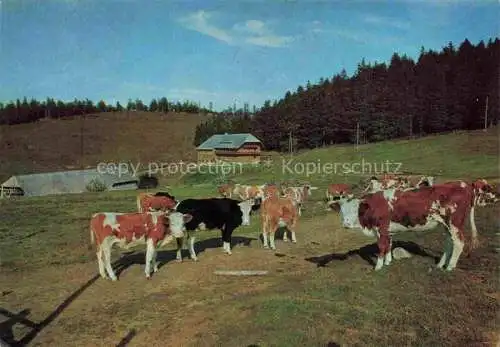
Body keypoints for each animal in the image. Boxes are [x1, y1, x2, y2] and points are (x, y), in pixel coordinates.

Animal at [332, 184, 488, 274]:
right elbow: (388, 245)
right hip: (446, 224)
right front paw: (388, 261)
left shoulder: (382, 229)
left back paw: (450, 266)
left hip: (454, 223)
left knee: (459, 243)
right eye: (342, 212)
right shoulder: (386, 231)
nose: (346, 224)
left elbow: (382, 247)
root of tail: (464, 187)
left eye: (356, 210)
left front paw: (378, 266)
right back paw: (440, 264)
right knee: (450, 242)